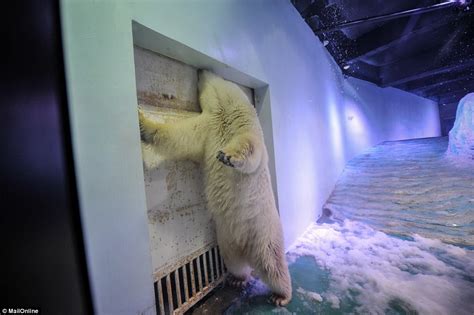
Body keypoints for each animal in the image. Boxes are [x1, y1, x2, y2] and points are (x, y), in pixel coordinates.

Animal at [138, 70, 292, 308]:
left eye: (212, 73)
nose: (200, 70)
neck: (225, 112)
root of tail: (246, 247)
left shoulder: (245, 127)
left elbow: (249, 147)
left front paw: (227, 156)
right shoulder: (208, 127)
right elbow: (181, 136)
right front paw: (143, 123)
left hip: (263, 233)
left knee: (273, 265)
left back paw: (282, 295)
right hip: (227, 242)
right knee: (235, 262)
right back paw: (238, 279)